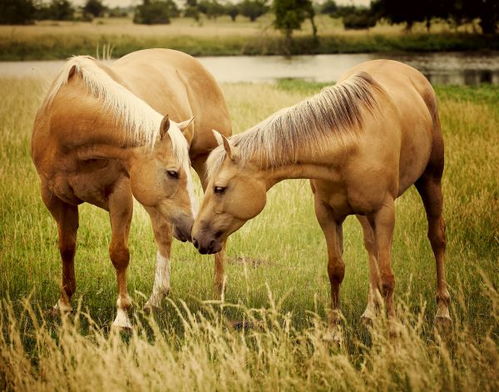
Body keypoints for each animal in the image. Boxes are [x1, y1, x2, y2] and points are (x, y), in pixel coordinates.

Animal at [32, 48, 231, 328]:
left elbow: (119, 254)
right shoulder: (55, 198)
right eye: (172, 172)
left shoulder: (120, 195)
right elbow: (66, 248)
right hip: (152, 201)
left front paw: (122, 317)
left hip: (204, 166)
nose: (191, 228)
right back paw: (155, 300)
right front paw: (63, 305)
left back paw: (217, 297)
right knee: (163, 233)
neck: (67, 124)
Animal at [191, 60, 454, 334]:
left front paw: (393, 331)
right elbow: (336, 270)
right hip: (363, 213)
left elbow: (388, 276)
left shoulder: (384, 212)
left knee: (437, 238)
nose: (196, 237)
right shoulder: (327, 214)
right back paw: (371, 311)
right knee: (370, 245)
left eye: (219, 188)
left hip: (431, 179)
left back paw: (443, 313)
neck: (351, 146)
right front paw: (333, 332)